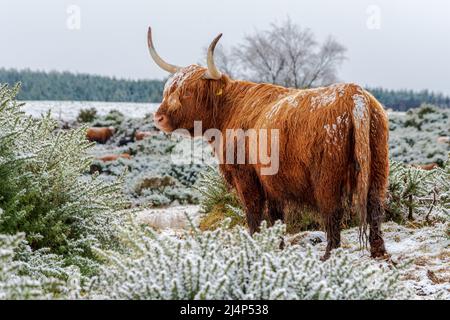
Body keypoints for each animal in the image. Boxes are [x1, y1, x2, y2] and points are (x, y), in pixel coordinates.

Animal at [149, 27, 390, 260]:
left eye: (188, 92)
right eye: (168, 90)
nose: (158, 118)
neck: (229, 111)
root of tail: (355, 96)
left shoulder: (245, 175)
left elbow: (253, 212)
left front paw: (255, 245)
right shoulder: (272, 182)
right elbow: (276, 217)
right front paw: (275, 246)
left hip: (326, 176)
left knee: (333, 211)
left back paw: (330, 254)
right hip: (378, 168)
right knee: (375, 206)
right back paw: (378, 251)